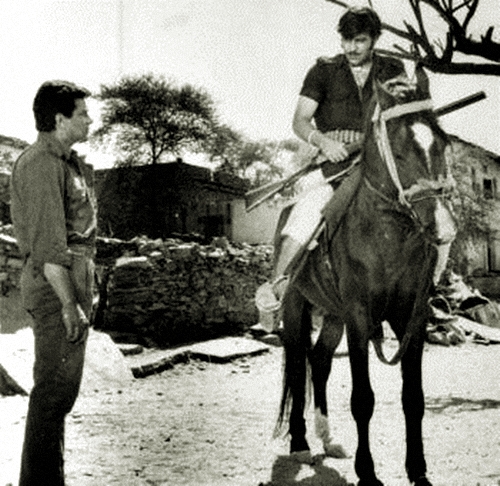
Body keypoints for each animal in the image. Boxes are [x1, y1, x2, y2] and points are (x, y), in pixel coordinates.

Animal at [274, 71, 458, 486]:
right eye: (399, 151)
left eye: (442, 143)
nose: (443, 228)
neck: (386, 236)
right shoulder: (359, 318)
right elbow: (363, 399)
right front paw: (368, 473)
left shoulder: (411, 319)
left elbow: (413, 398)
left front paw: (418, 470)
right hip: (296, 307)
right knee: (297, 366)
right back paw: (301, 443)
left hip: (333, 315)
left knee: (319, 362)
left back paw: (328, 439)